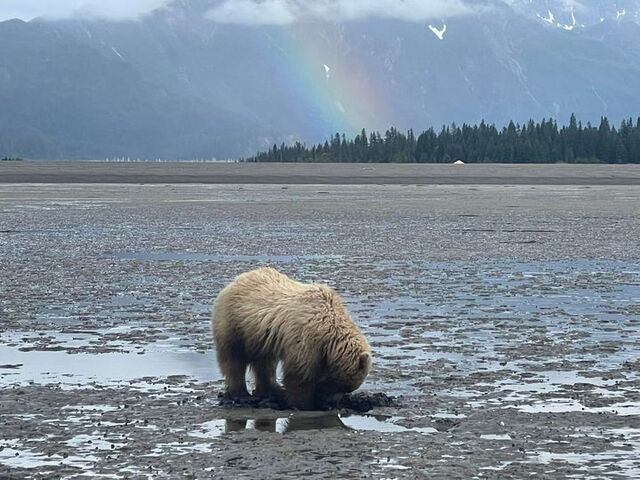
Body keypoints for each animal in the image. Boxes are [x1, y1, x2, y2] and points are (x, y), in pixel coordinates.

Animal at [211, 266, 370, 408]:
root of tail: (234, 281)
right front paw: (303, 404)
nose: (330, 402)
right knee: (233, 359)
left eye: (346, 388)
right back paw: (241, 394)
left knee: (264, 362)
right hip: (234, 324)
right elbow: (298, 375)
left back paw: (271, 389)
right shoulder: (305, 338)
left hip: (259, 336)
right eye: (341, 385)